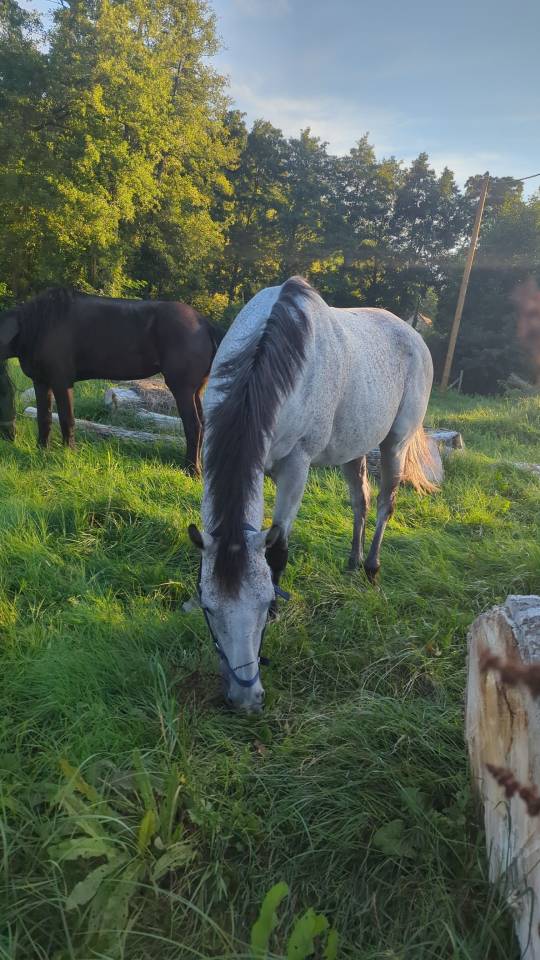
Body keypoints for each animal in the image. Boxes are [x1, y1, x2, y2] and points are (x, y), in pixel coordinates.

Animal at [0, 288, 222, 473]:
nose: (8, 435)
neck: (38, 324)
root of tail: (204, 323)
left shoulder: (62, 382)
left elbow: (66, 419)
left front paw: (69, 453)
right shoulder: (41, 382)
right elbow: (44, 418)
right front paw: (41, 450)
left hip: (182, 389)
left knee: (193, 426)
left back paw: (192, 470)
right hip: (196, 391)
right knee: (203, 425)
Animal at [187, 276, 437, 713]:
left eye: (264, 603)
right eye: (208, 608)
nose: (246, 697)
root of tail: (412, 333)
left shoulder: (296, 467)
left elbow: (278, 549)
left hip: (395, 444)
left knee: (385, 504)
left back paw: (371, 569)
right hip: (354, 450)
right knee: (360, 502)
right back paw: (351, 565)